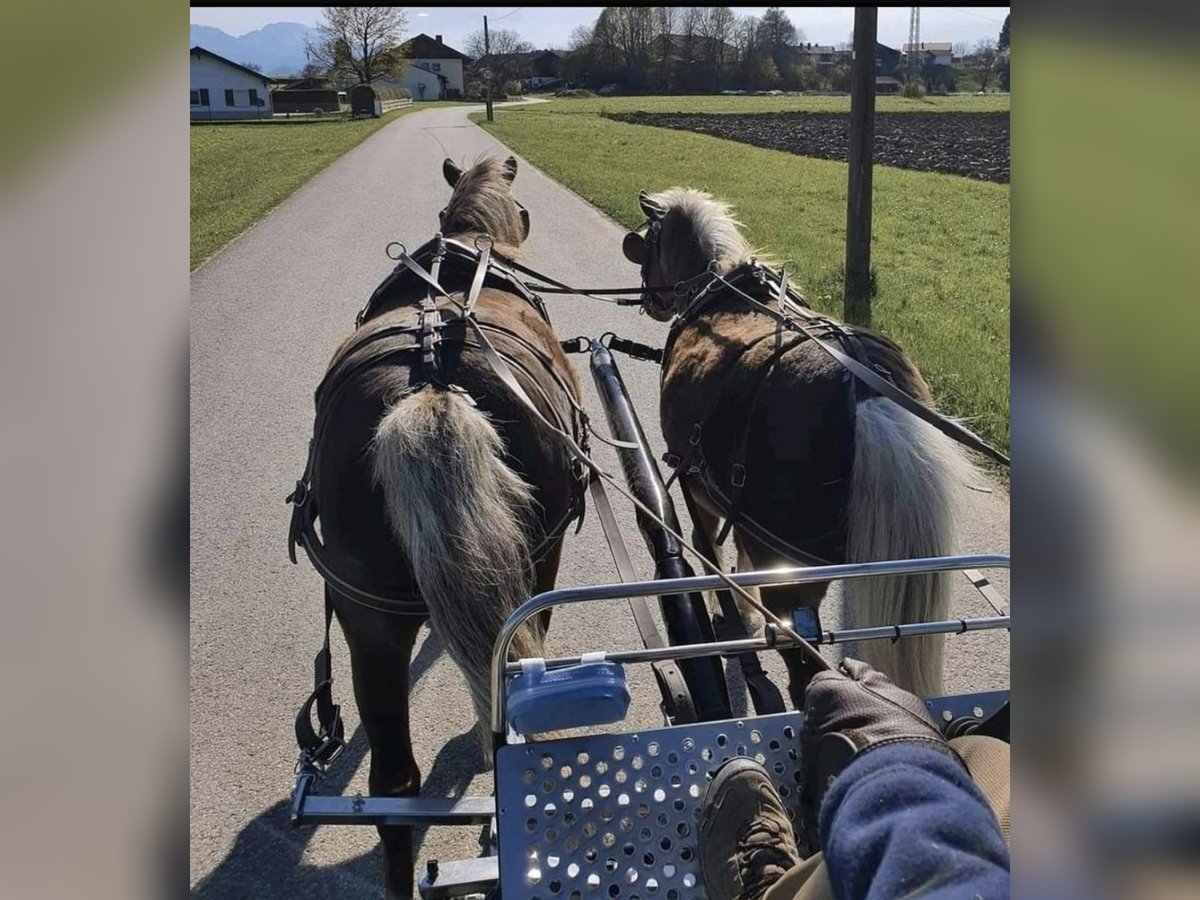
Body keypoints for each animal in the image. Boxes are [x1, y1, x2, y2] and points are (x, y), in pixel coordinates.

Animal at [619, 190, 974, 710]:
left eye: (646, 246)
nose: (649, 301)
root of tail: (866, 394)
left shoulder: (697, 486)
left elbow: (710, 552)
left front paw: (728, 611)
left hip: (792, 571)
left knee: (802, 669)